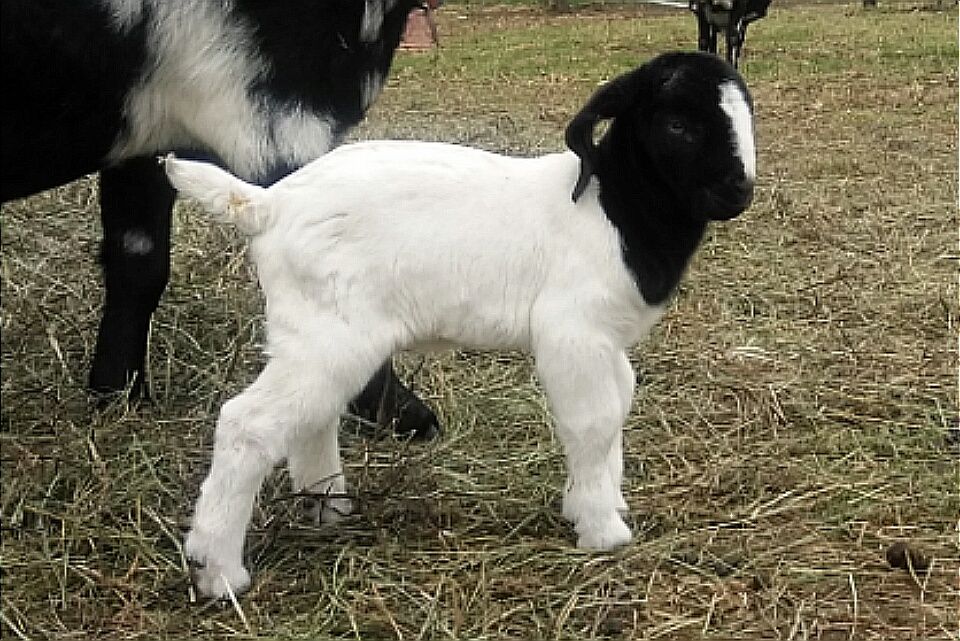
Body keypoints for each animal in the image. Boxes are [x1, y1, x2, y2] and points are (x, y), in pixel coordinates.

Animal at [164, 51, 757, 599]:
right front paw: (602, 531)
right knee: (247, 424)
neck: (612, 211)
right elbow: (591, 423)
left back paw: (330, 510)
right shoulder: (573, 333)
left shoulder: (608, 342)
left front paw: (599, 504)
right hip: (329, 333)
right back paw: (218, 572)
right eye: (677, 125)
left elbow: (617, 413)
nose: (739, 192)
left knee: (312, 418)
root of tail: (267, 205)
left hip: (321, 337)